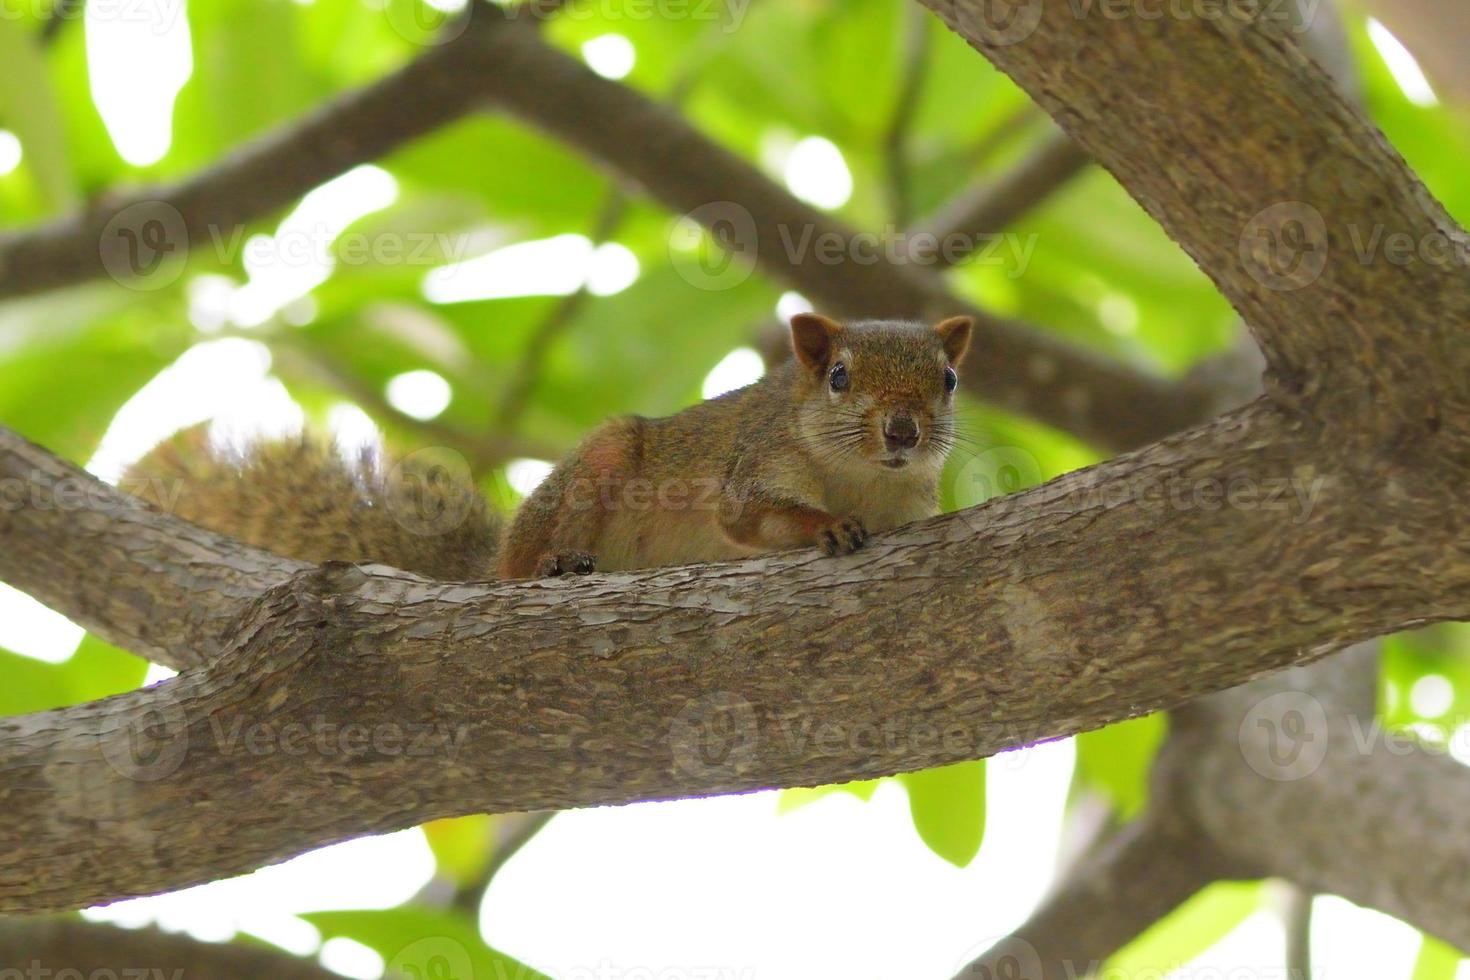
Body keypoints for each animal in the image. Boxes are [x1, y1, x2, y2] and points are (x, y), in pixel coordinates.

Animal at [126, 312, 970, 581]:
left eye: (949, 380)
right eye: (838, 377)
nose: (902, 430)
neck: (859, 477)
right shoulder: (757, 458)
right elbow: (744, 518)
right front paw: (824, 526)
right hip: (599, 466)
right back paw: (549, 563)